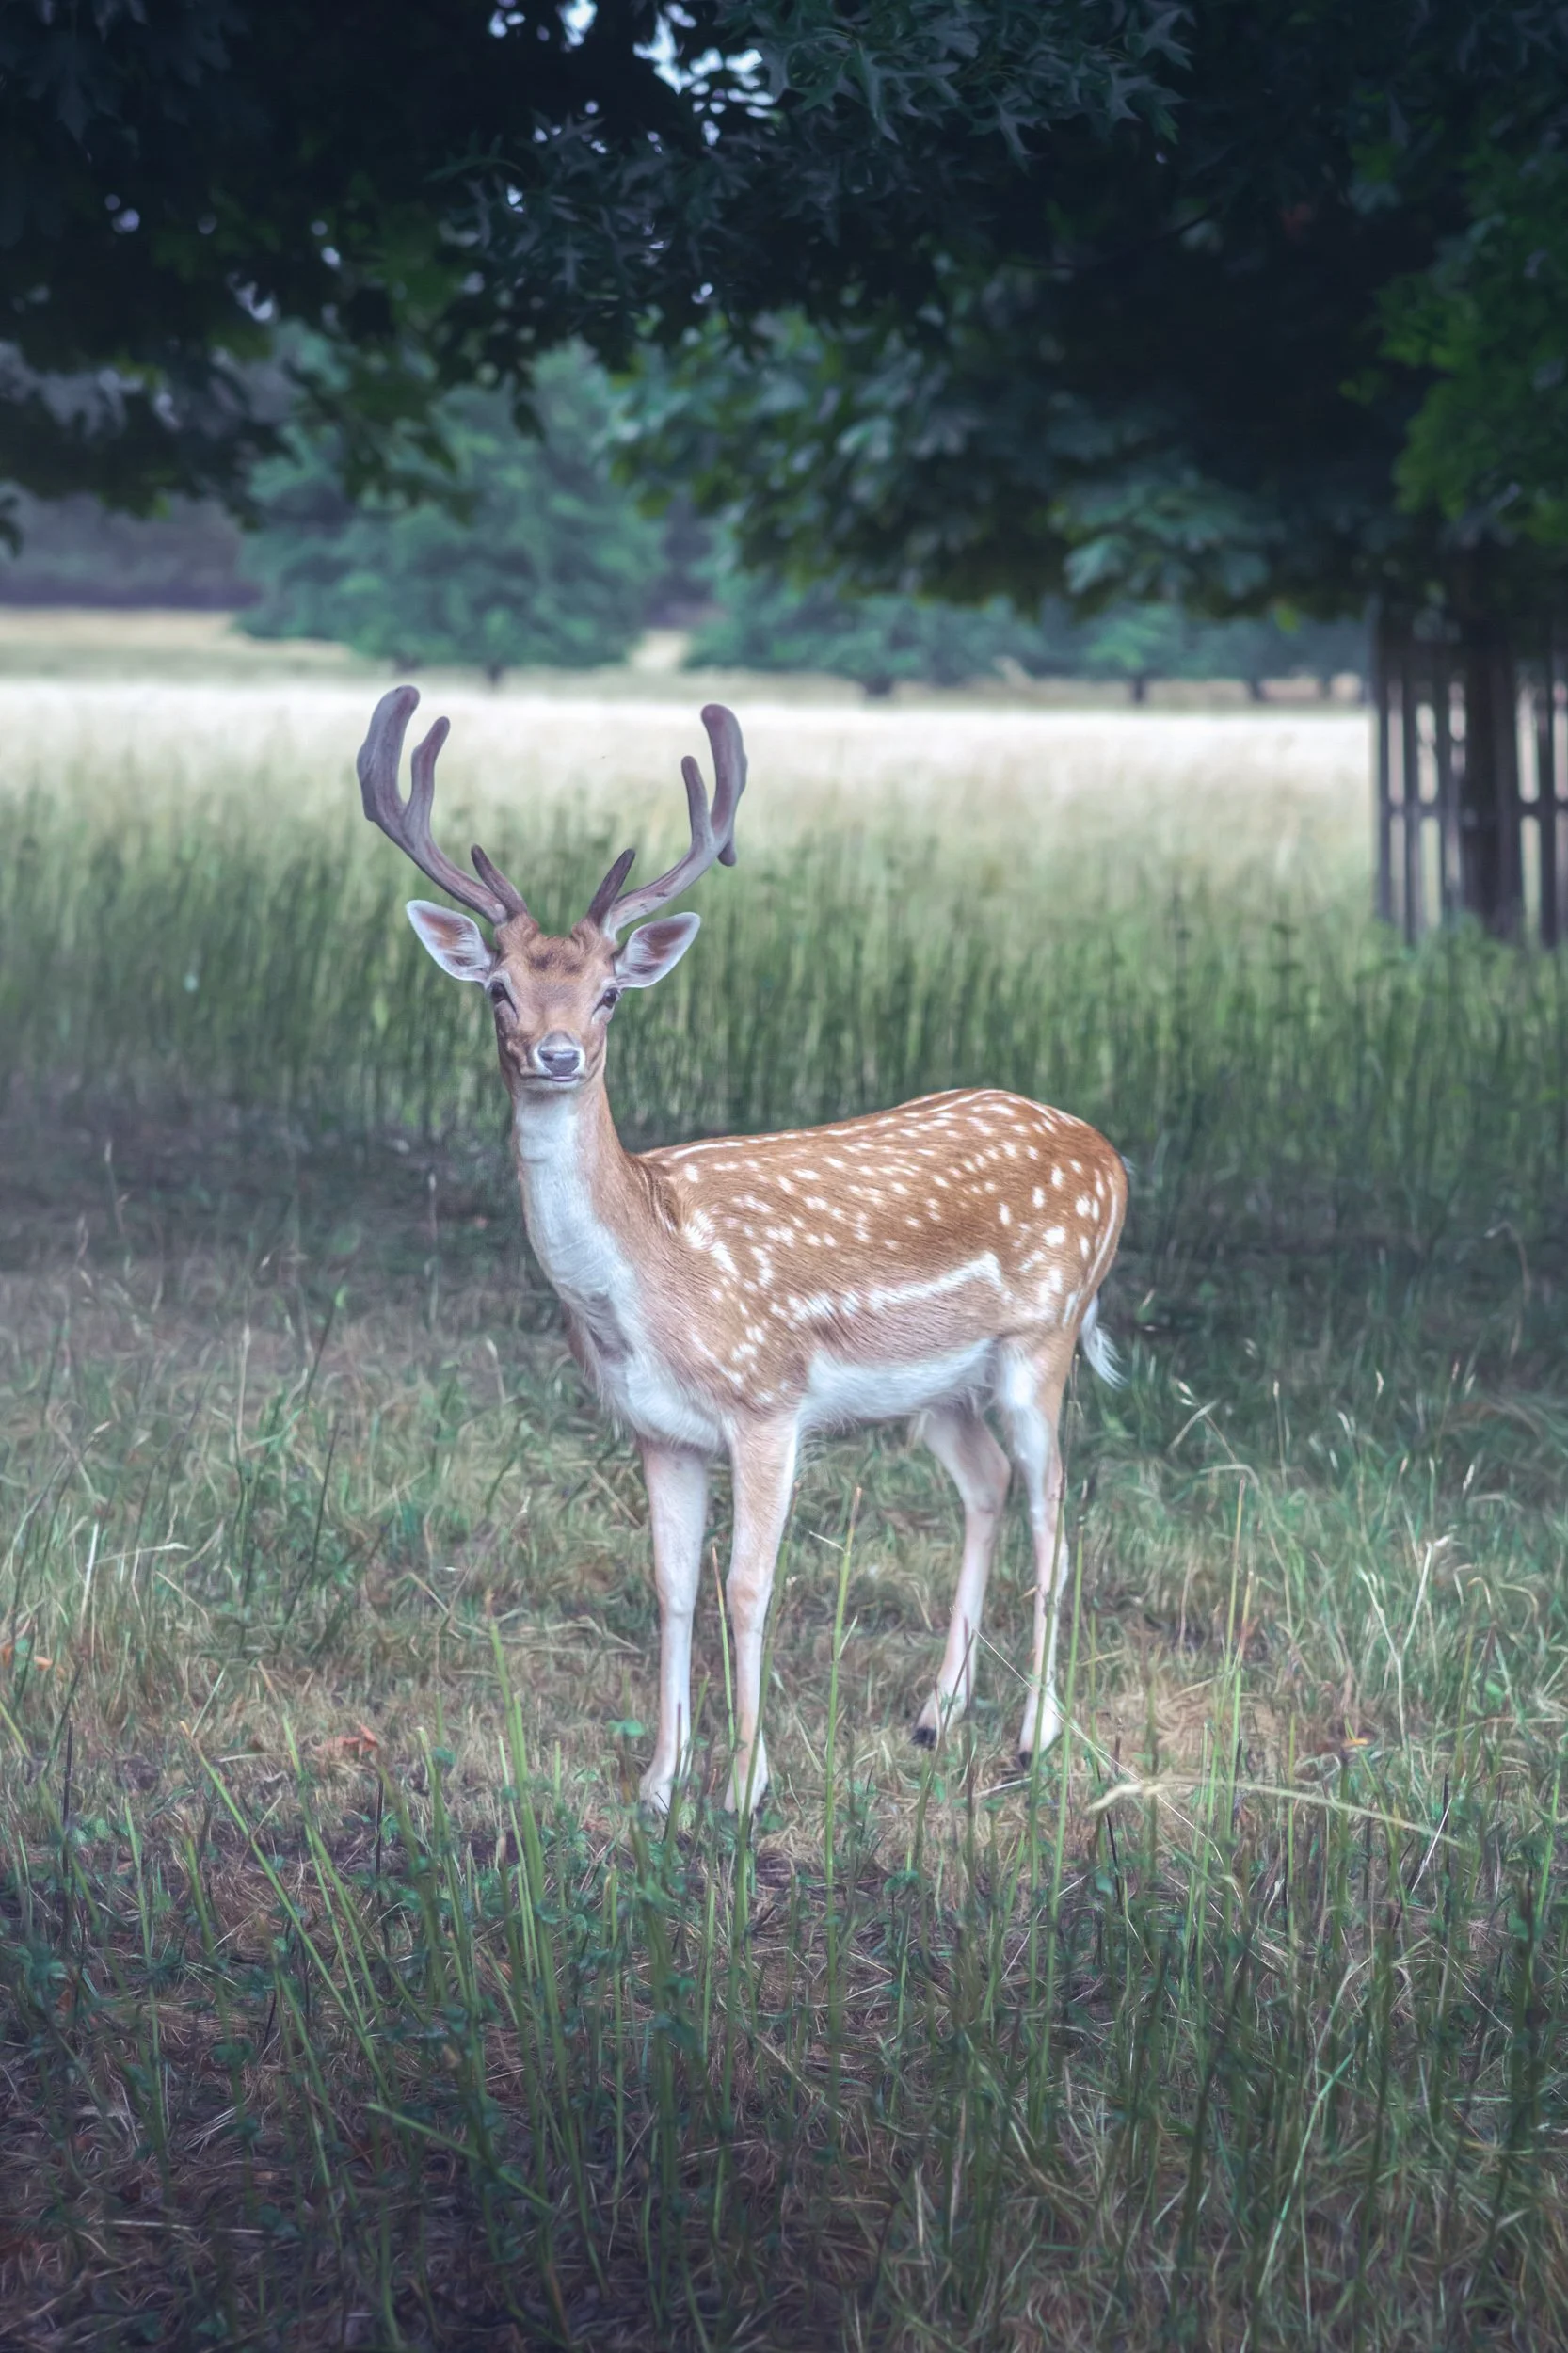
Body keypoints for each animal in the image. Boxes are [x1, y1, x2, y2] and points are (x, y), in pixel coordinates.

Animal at [357, 686, 1127, 1814]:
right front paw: (659, 1782)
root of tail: (1106, 1149)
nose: (557, 1054)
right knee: (985, 1485)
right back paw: (936, 1713)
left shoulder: (768, 1402)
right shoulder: (656, 1428)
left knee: (1056, 1513)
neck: (649, 1281)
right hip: (938, 1389)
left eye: (609, 992)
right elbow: (672, 1585)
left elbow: (748, 1582)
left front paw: (745, 1787)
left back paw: (1035, 1734)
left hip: (1046, 1337)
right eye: (497, 986)